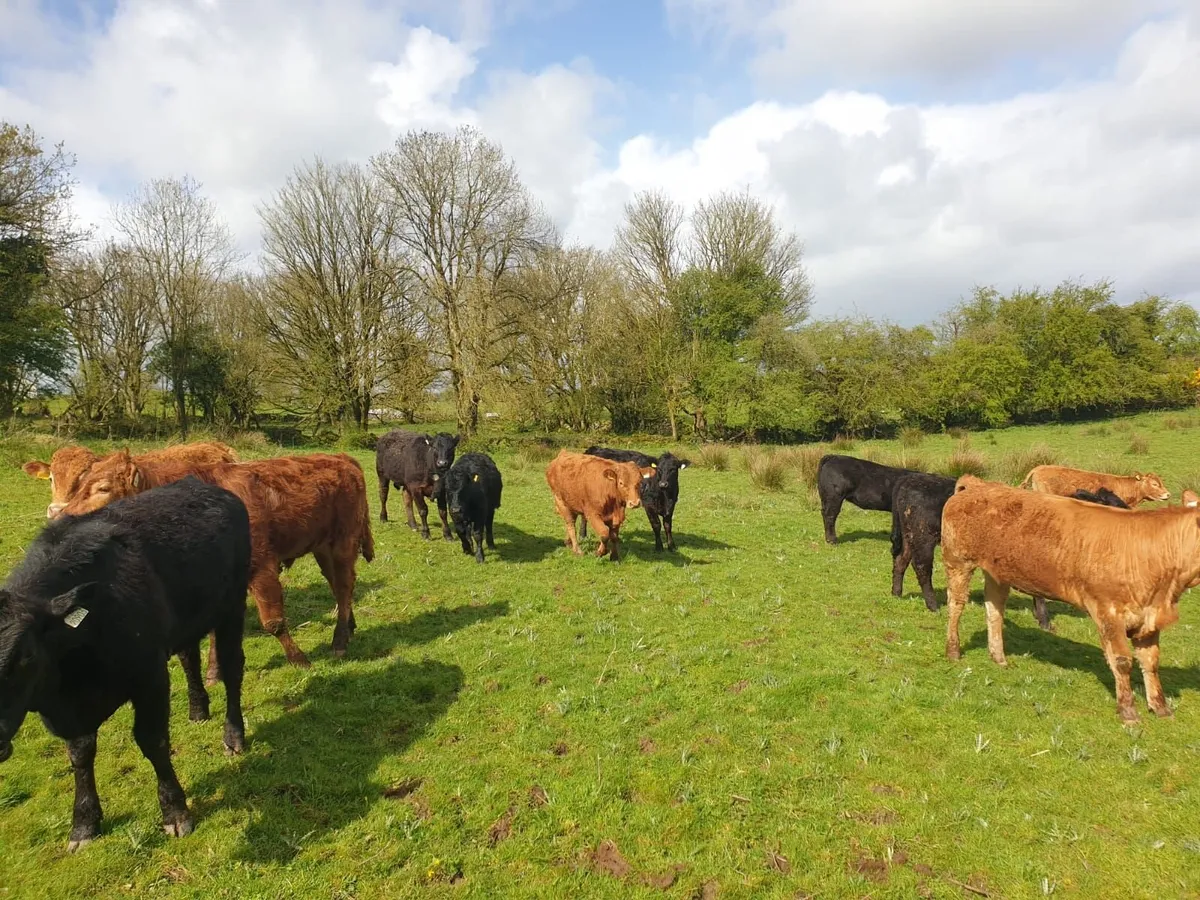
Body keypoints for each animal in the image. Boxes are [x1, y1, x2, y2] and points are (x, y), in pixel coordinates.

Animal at [0, 477, 251, 849]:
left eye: (26, 655)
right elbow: (80, 754)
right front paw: (84, 823)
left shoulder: (150, 677)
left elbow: (153, 741)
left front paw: (175, 812)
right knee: (189, 657)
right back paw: (197, 709)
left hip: (232, 607)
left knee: (232, 669)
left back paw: (233, 735)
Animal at [60, 451, 374, 669]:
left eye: (102, 489)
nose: (60, 516)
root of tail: (341, 458)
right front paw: (214, 671)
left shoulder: (261, 566)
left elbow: (273, 622)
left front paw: (299, 660)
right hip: (322, 547)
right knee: (338, 585)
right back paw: (349, 626)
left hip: (343, 542)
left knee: (344, 586)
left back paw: (340, 640)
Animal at [941, 474, 1200, 722]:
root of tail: (977, 484)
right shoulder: (1108, 611)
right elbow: (1122, 660)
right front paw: (1128, 711)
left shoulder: (1149, 618)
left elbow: (1150, 662)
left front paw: (1160, 707)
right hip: (958, 561)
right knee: (956, 605)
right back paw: (953, 650)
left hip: (998, 574)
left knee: (994, 610)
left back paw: (998, 657)